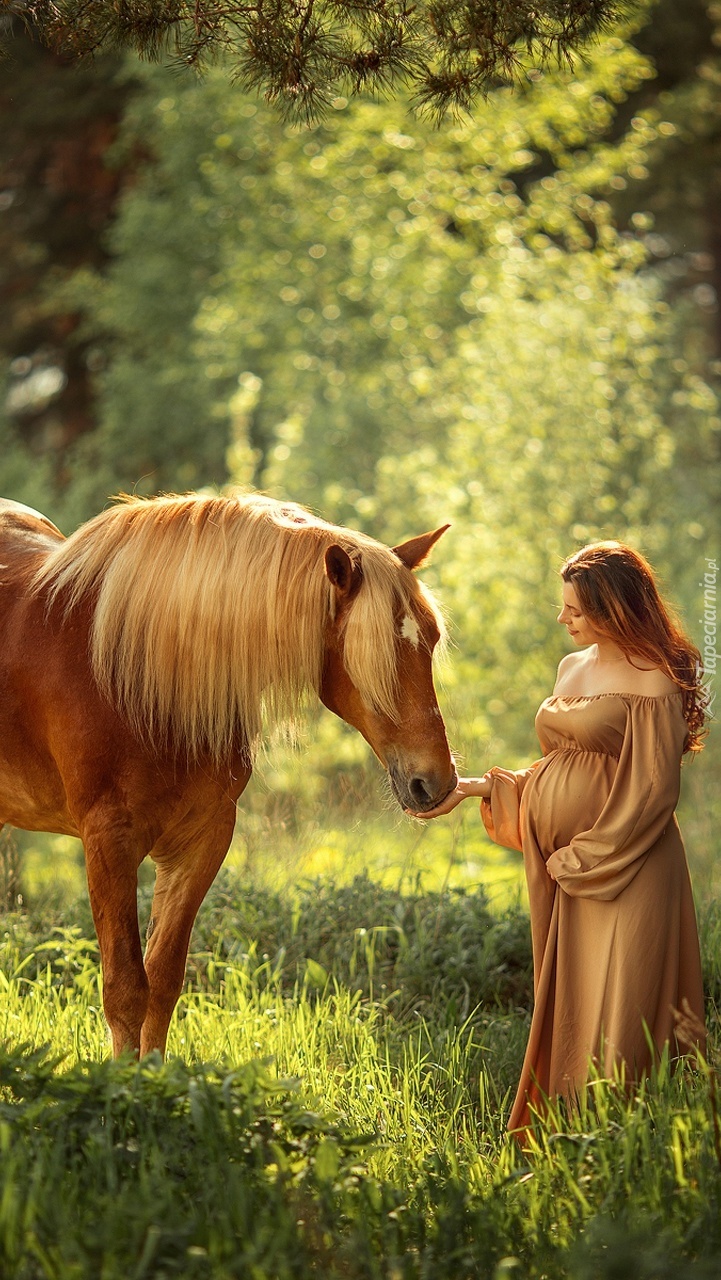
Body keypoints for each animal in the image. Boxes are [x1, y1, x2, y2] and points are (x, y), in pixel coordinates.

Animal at [0, 488, 455, 1059]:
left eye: (431, 639)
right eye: (377, 654)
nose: (437, 781)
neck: (138, 675)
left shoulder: (205, 835)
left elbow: (162, 980)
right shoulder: (107, 841)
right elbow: (125, 989)